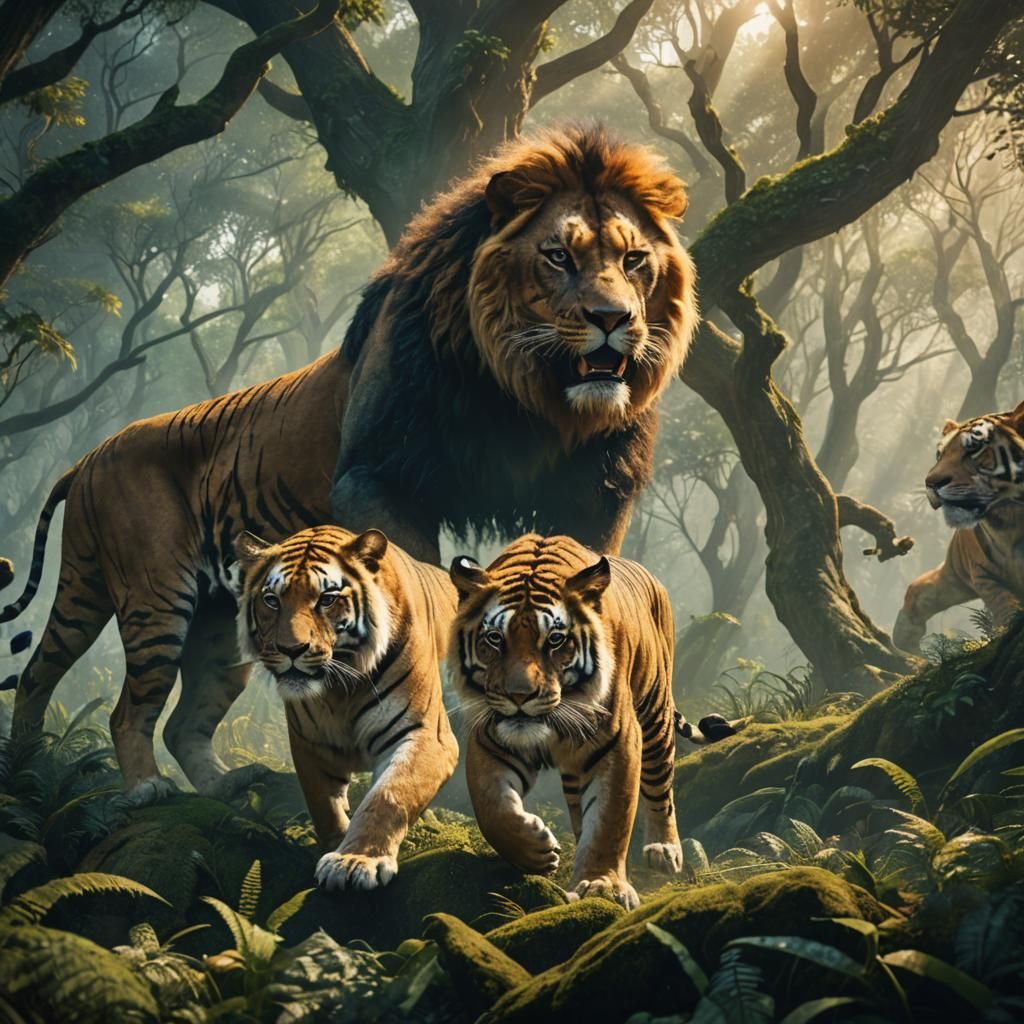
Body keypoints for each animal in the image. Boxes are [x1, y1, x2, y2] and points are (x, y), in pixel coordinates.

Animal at [234, 524, 458, 891]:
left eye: (327, 599)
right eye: (272, 600)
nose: (291, 649)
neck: (341, 688)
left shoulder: (427, 736)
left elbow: (388, 795)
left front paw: (355, 861)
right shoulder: (310, 744)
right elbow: (323, 806)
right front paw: (336, 844)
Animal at [448, 534, 739, 910]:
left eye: (555, 640)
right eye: (495, 639)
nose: (519, 696)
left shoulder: (618, 740)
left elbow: (610, 816)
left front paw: (603, 885)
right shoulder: (489, 737)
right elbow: (491, 809)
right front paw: (536, 851)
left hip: (656, 715)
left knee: (661, 787)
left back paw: (664, 850)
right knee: (577, 807)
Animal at [893, 401, 1024, 652]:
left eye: (974, 449)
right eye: (939, 454)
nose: (930, 483)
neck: (1009, 519)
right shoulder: (983, 576)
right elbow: (1003, 605)